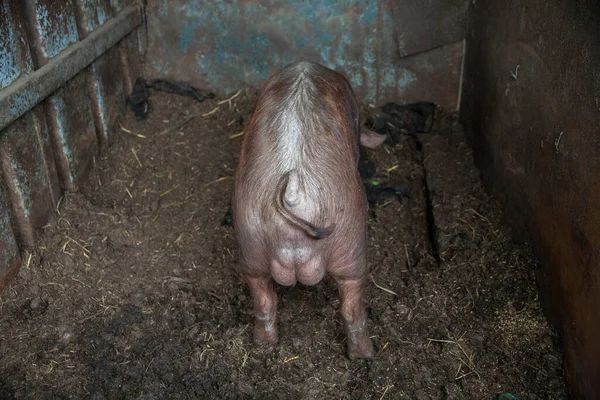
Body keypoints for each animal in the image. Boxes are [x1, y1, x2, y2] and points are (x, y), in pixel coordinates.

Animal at [233, 61, 376, 360]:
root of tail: (294, 192)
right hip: (351, 241)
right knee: (352, 307)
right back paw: (365, 355)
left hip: (250, 242)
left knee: (263, 302)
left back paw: (264, 344)